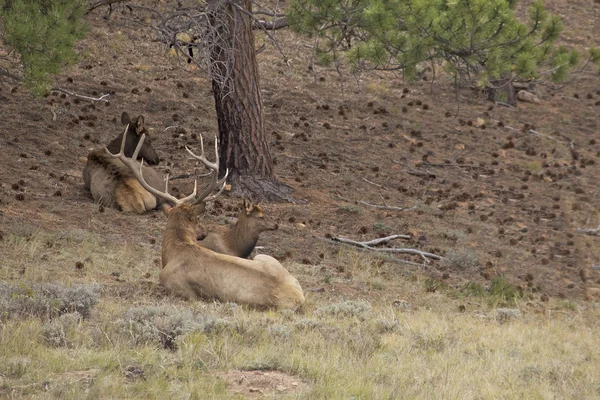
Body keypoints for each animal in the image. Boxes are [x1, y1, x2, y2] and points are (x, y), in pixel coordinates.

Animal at [104, 131, 304, 310]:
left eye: (198, 218)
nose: (204, 232)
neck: (174, 251)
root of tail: (299, 296)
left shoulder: (174, 285)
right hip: (266, 258)